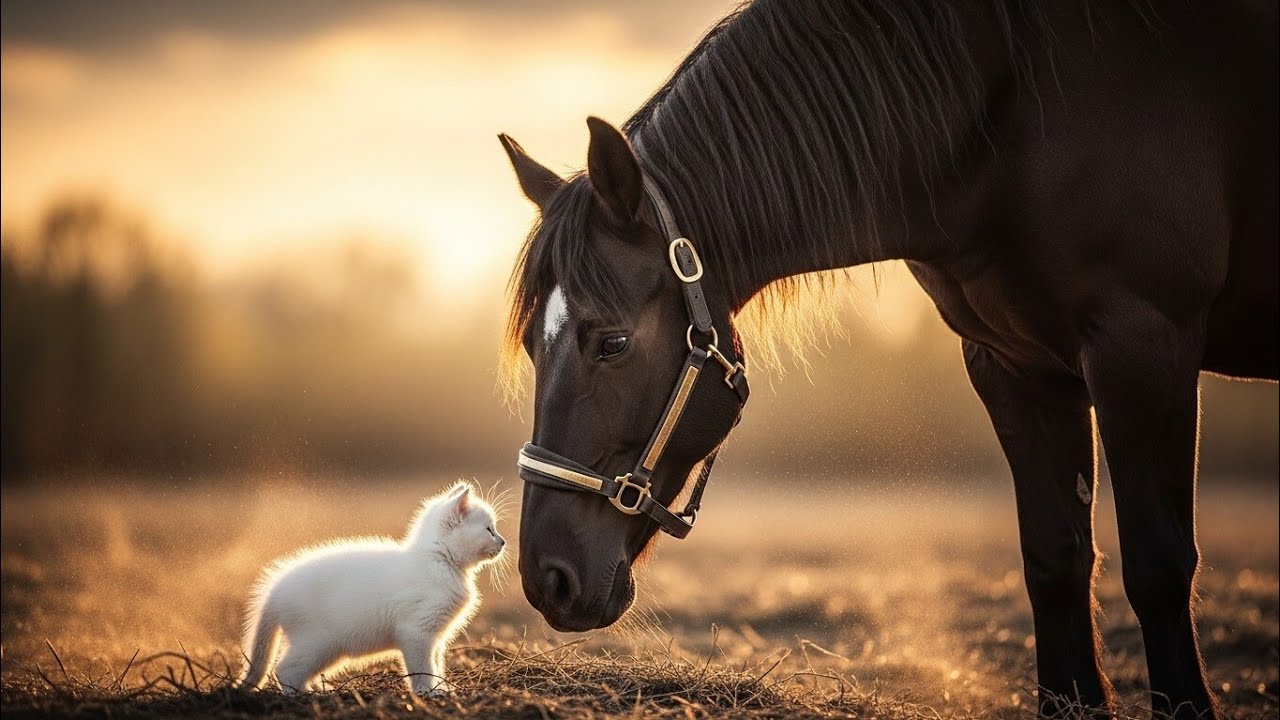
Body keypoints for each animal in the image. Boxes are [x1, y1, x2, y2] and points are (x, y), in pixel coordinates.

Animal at [497, 1, 1277, 717]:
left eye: (612, 343)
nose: (546, 579)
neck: (1011, 114)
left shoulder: (1143, 345)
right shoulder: (1015, 366)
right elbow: (1055, 559)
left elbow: (1158, 563)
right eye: (534, 344)